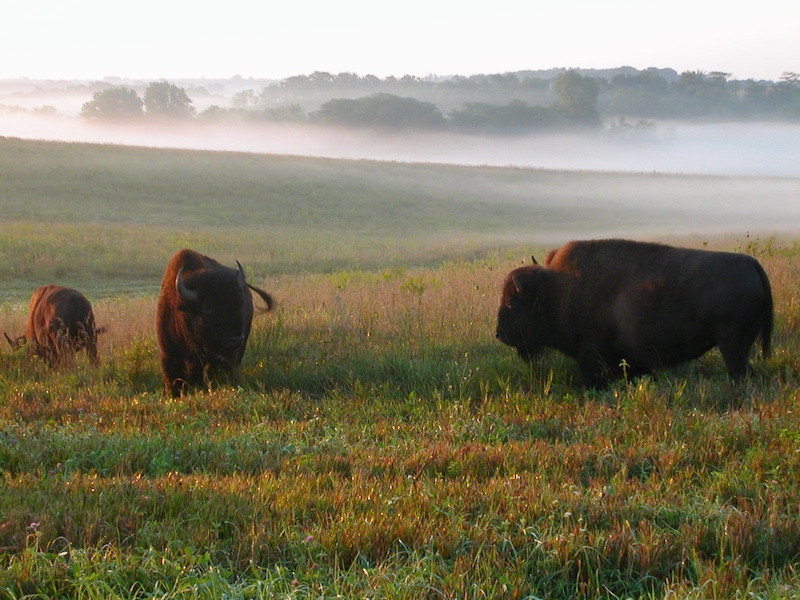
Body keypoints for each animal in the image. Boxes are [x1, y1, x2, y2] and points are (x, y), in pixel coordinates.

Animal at [496, 239, 773, 388]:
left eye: (511, 303)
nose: (499, 335)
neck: (556, 289)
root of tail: (751, 264)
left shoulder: (590, 356)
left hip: (731, 346)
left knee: (740, 372)